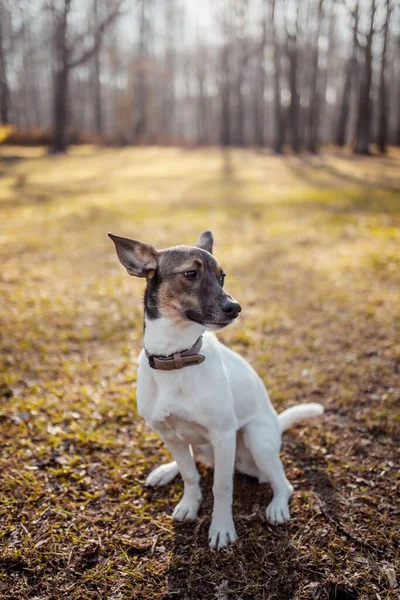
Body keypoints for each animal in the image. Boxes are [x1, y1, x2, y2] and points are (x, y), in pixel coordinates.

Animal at [108, 230, 324, 548]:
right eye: (191, 273)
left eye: (222, 276)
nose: (235, 308)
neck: (177, 357)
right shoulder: (167, 433)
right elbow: (190, 475)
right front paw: (189, 503)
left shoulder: (223, 436)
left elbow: (222, 488)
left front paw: (221, 528)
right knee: (193, 459)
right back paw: (166, 470)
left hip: (257, 439)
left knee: (282, 483)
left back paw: (277, 506)